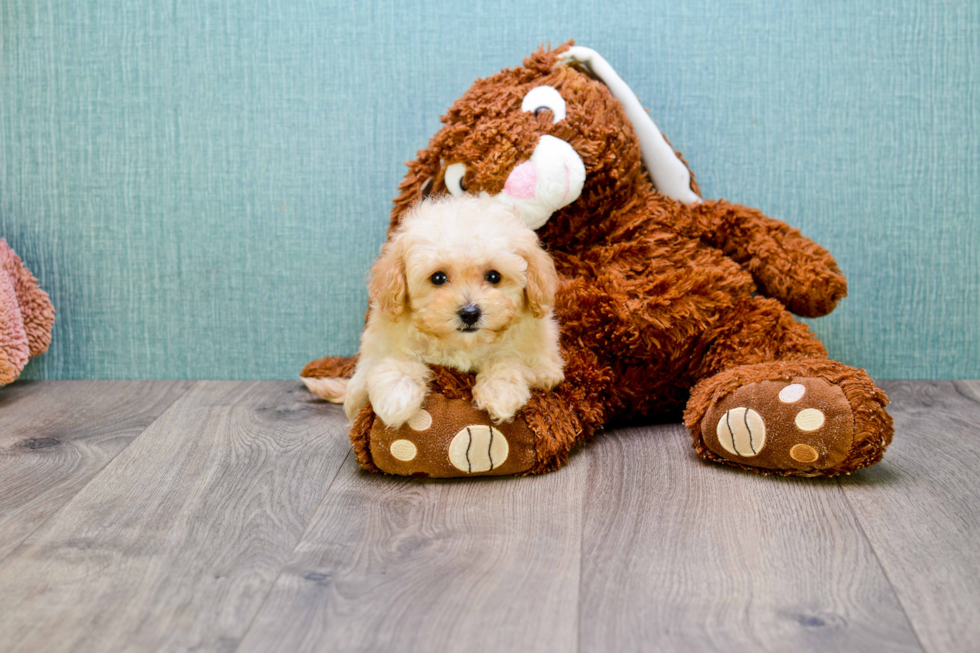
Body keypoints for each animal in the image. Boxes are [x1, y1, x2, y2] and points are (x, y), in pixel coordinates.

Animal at [342, 194, 564, 428]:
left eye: (494, 276)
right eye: (438, 278)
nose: (470, 313)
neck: (463, 345)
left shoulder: (542, 358)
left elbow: (512, 359)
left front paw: (499, 392)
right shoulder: (381, 342)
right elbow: (395, 360)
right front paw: (397, 396)